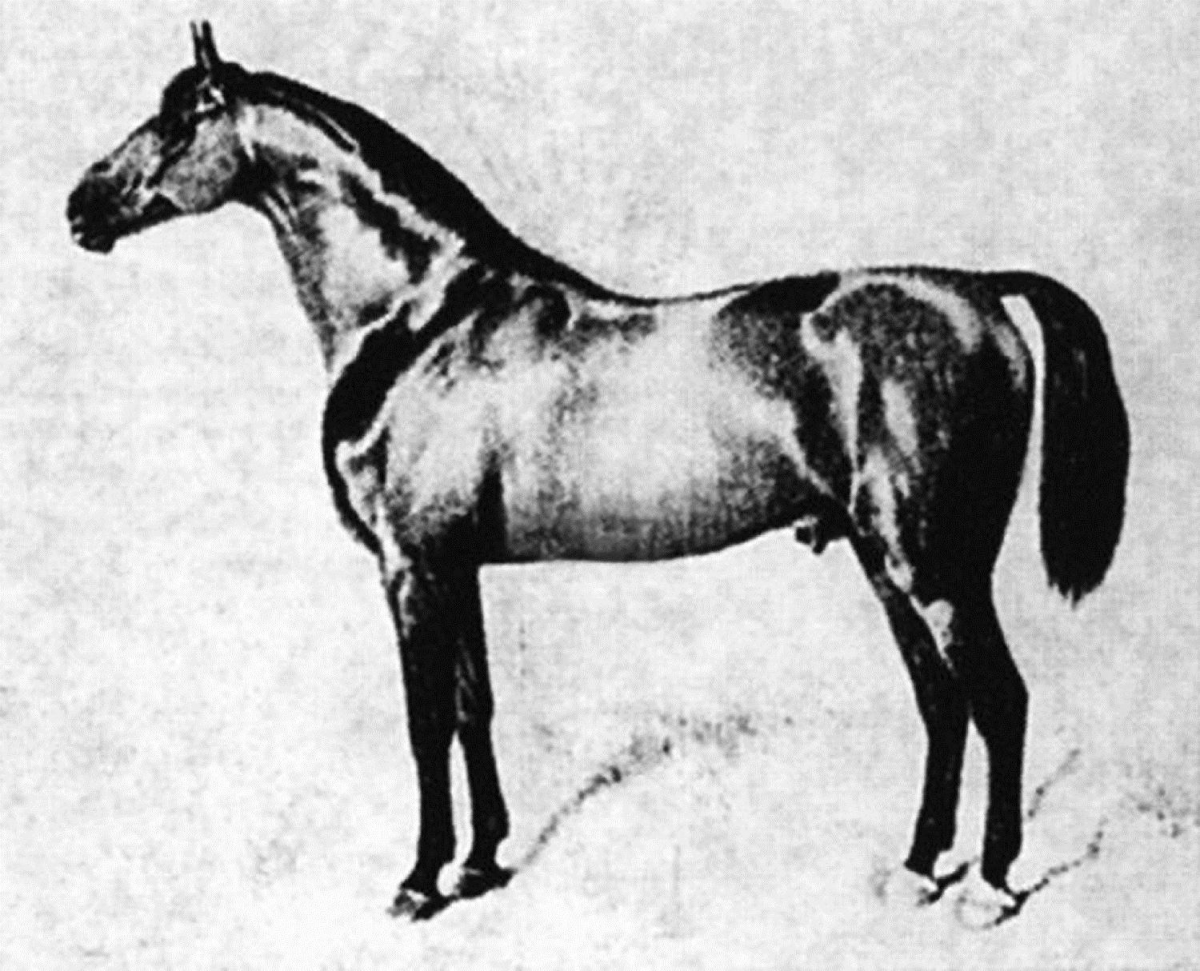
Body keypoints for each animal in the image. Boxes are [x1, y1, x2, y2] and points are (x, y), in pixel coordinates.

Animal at [67, 23, 1129, 926]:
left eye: (182, 115)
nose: (81, 206)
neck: (421, 319)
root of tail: (981, 289)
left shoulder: (412, 568)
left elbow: (424, 722)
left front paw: (421, 878)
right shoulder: (457, 568)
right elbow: (473, 706)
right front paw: (482, 863)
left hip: (934, 567)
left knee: (999, 700)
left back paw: (988, 886)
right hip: (885, 561)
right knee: (943, 703)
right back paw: (915, 868)